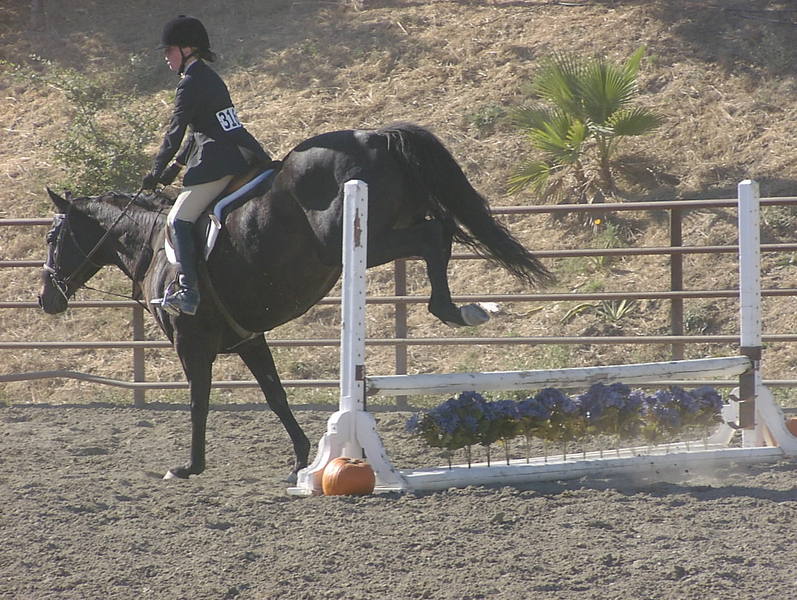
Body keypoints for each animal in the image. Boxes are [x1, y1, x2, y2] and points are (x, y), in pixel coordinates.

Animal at [38, 122, 551, 481]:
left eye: (52, 237)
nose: (46, 299)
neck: (151, 246)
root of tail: (377, 136)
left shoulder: (192, 343)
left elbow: (199, 402)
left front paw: (189, 466)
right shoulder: (249, 339)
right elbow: (276, 395)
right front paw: (302, 460)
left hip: (359, 241)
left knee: (433, 236)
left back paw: (451, 310)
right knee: (440, 231)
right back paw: (465, 309)